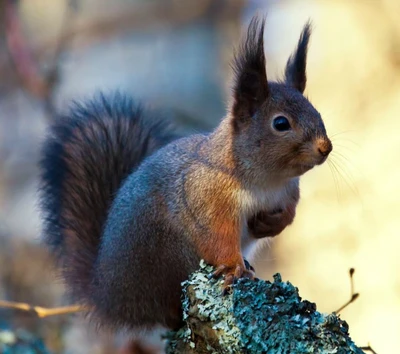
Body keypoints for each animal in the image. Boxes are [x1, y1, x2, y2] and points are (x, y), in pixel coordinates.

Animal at [38, 15, 332, 332]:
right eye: (280, 123)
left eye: (316, 112)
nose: (325, 147)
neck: (267, 179)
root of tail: (107, 294)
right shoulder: (208, 199)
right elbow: (218, 236)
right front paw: (234, 268)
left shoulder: (288, 192)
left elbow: (289, 214)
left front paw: (270, 223)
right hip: (163, 256)